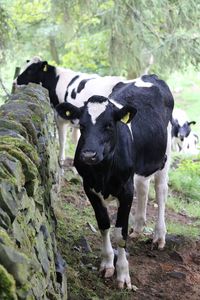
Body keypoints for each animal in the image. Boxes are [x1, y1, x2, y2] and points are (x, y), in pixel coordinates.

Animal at [55, 74, 174, 288]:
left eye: (109, 125)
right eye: (82, 126)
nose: (89, 155)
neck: (103, 173)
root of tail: (149, 76)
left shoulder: (126, 190)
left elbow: (120, 233)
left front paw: (123, 274)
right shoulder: (89, 187)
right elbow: (103, 224)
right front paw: (107, 264)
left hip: (164, 156)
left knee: (161, 190)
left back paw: (159, 236)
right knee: (143, 187)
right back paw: (139, 227)